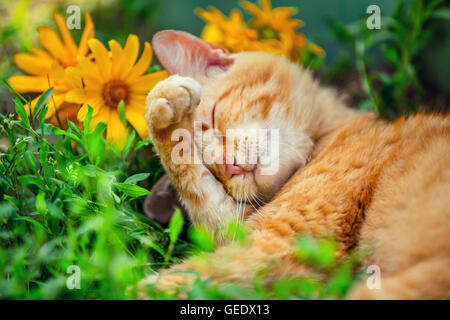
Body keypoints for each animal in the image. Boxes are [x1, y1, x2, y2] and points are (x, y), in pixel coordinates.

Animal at [142, 30, 450, 300]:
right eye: (217, 174)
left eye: (214, 121)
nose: (230, 166)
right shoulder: (269, 239)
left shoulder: (283, 238)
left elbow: (166, 281)